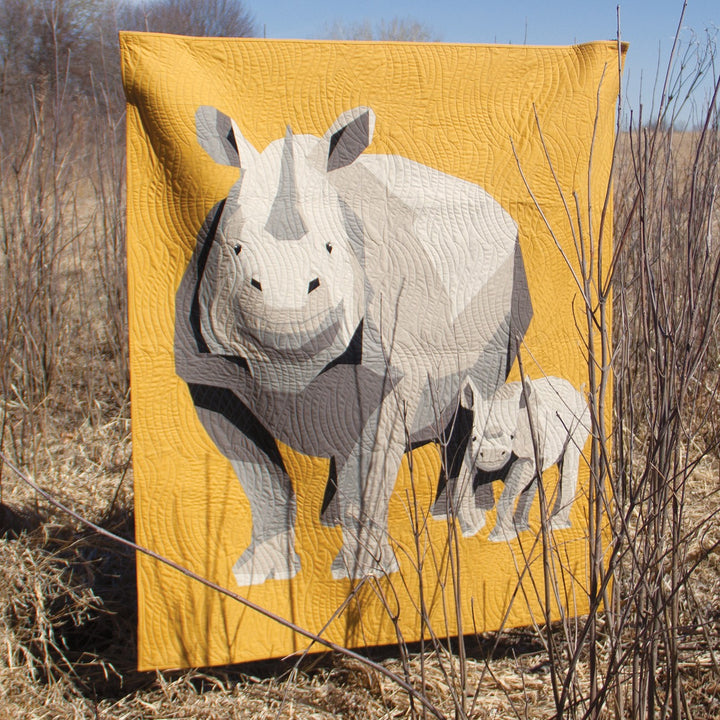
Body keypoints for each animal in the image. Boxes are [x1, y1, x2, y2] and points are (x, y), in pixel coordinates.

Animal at [174, 105, 532, 584]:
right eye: (235, 250)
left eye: (330, 248)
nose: (288, 318)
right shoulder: (209, 376)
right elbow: (261, 477)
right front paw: (262, 574)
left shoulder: (391, 374)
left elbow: (368, 472)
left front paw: (366, 574)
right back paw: (331, 523)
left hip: (508, 278)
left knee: (477, 397)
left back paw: (451, 519)